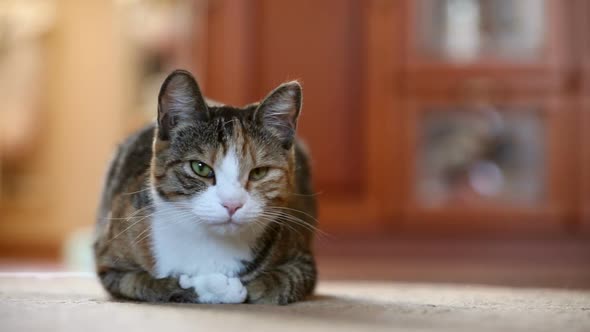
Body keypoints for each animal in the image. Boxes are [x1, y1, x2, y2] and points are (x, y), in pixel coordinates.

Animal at [95, 69, 320, 304]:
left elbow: (279, 284)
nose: (232, 205)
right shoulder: (109, 263)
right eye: (200, 168)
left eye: (259, 172)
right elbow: (143, 283)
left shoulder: (304, 263)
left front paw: (239, 288)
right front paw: (196, 288)